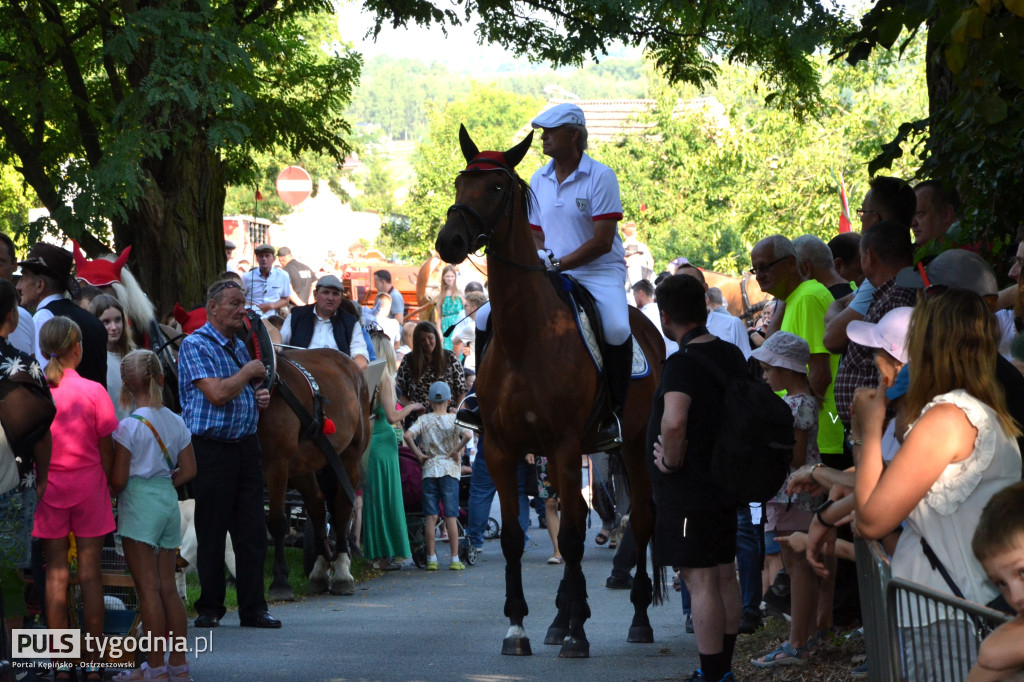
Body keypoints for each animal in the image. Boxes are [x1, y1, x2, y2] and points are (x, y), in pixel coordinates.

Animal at [438, 125, 663, 655]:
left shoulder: (562, 445)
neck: (528, 335)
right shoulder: (502, 449)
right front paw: (519, 628)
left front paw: (578, 634)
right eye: (460, 181)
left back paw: (636, 617)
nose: (449, 240)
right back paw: (561, 617)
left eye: (497, 186)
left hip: (634, 446)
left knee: (641, 517)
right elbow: (515, 537)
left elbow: (577, 535)